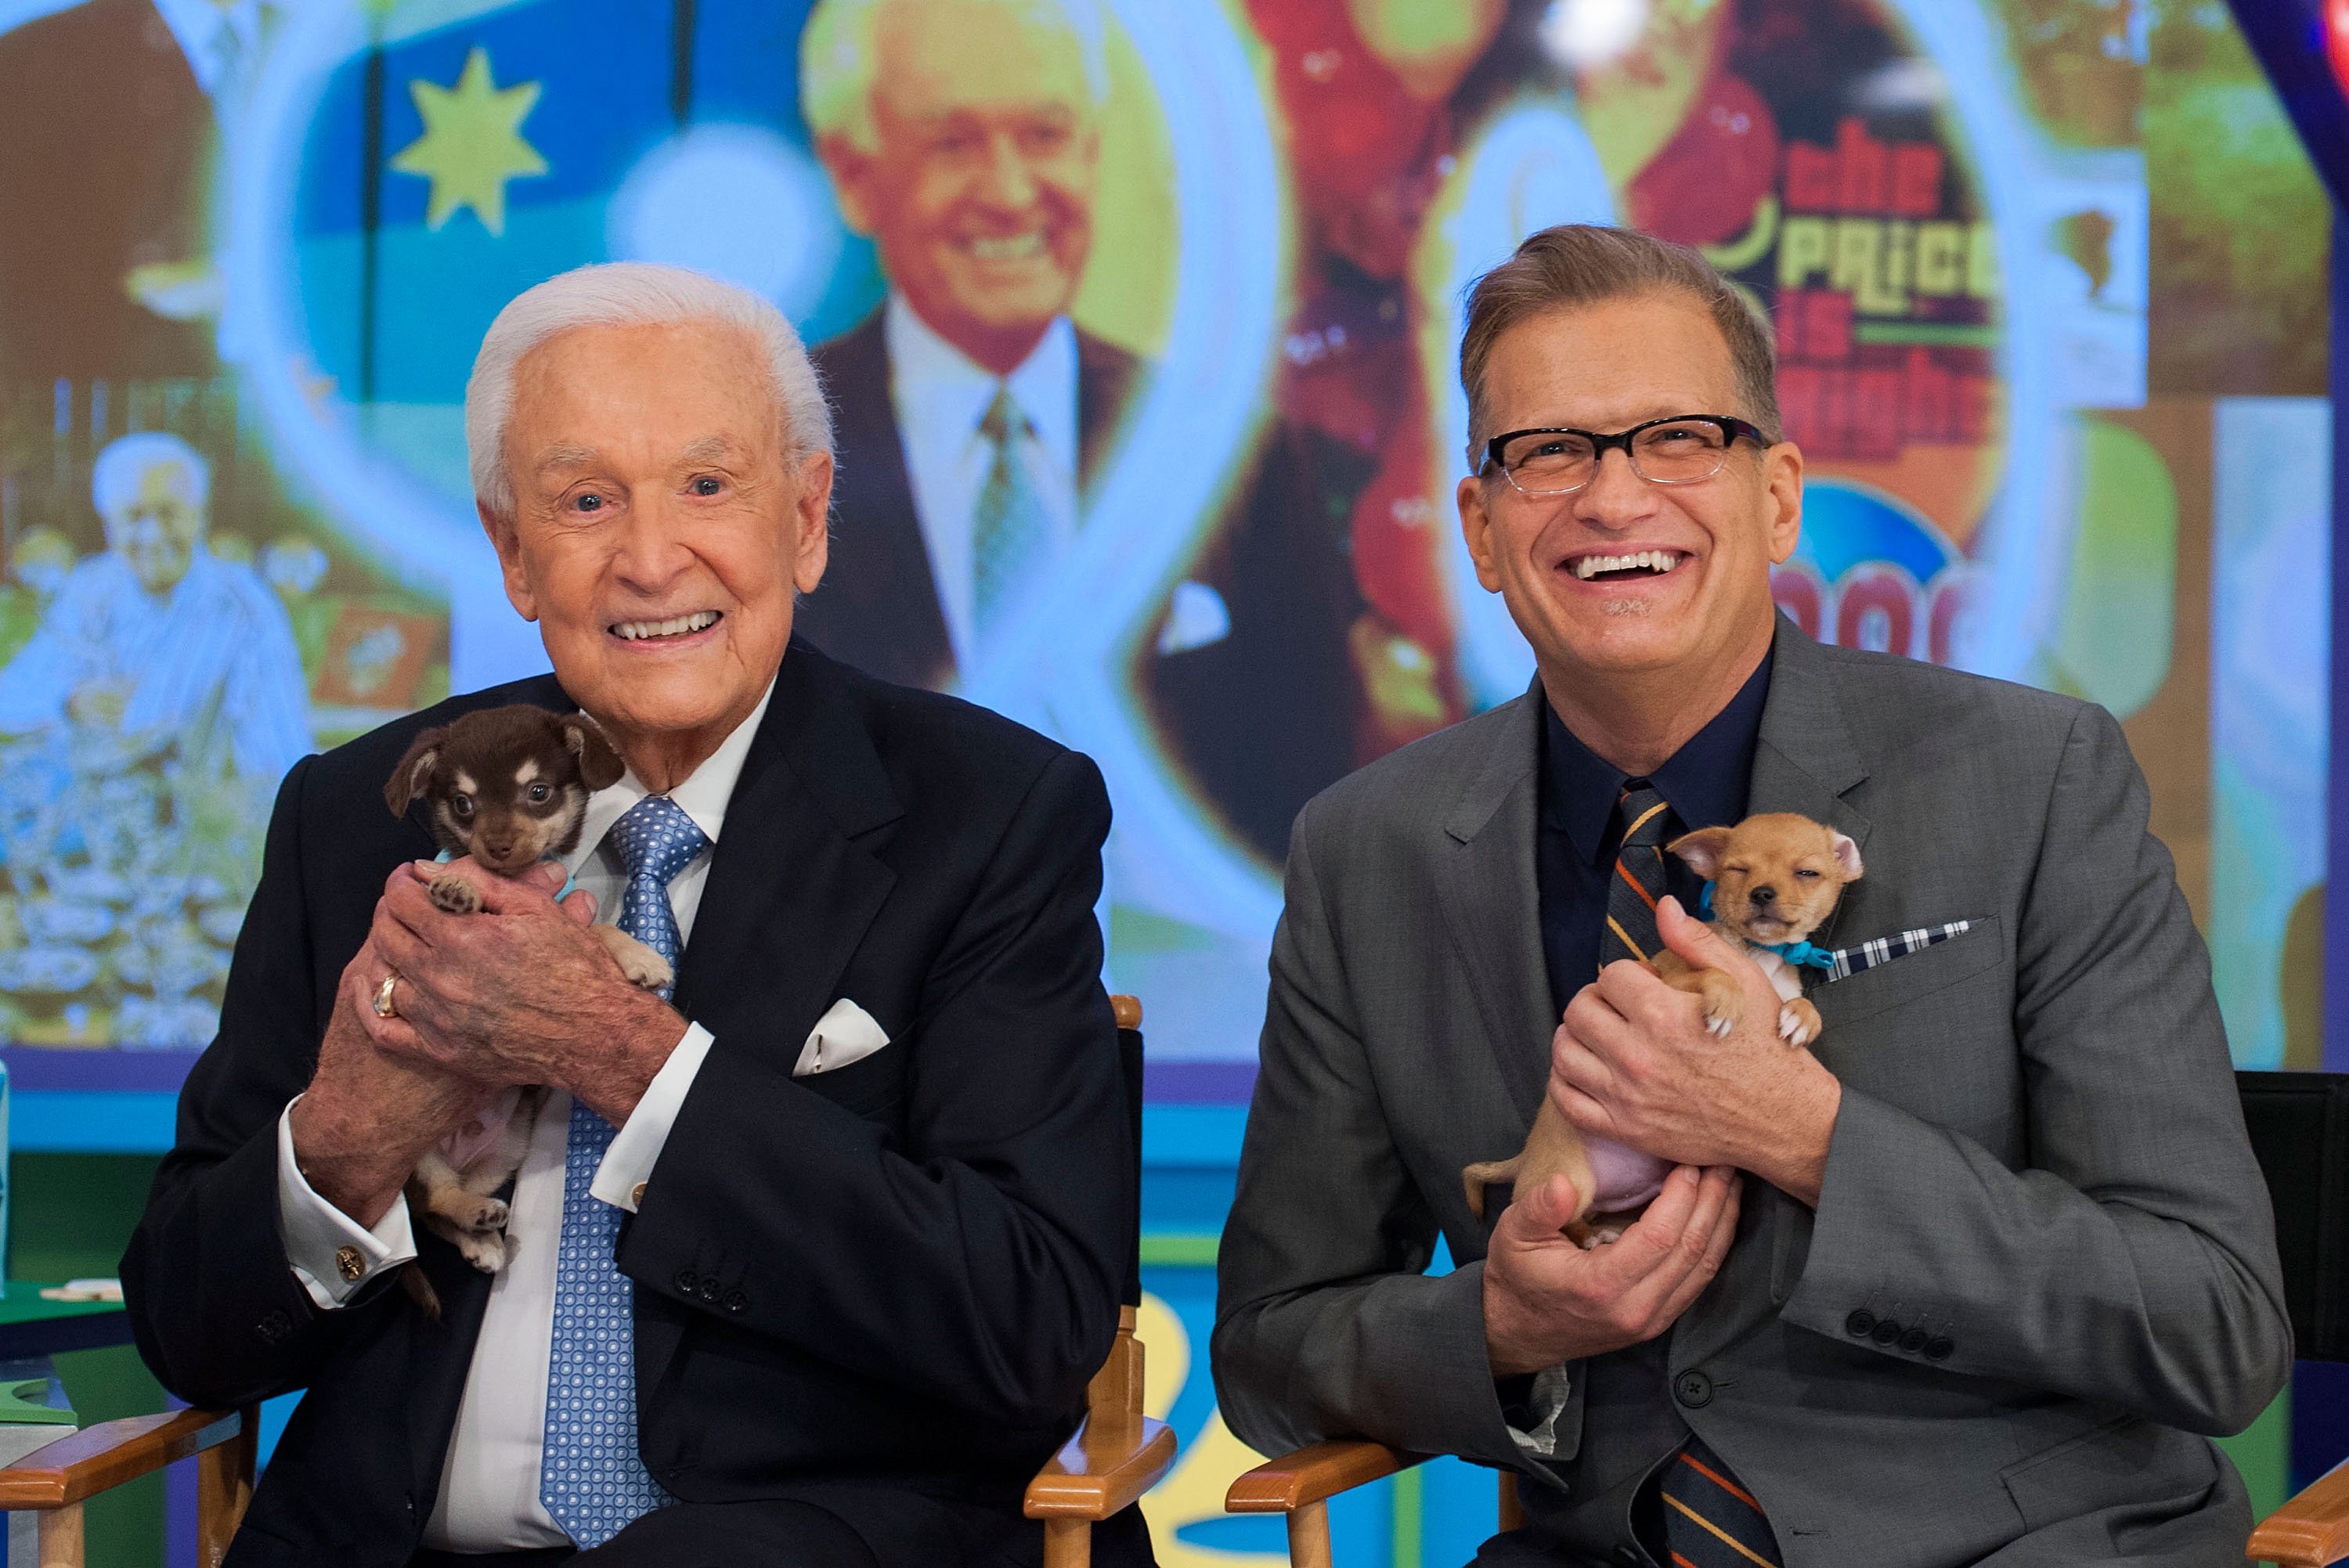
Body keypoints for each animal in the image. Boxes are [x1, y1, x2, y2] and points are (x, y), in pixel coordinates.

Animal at [378, 704, 672, 1296]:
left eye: (538, 792)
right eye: (462, 802)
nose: (497, 846)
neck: (517, 882)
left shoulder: (560, 918)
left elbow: (598, 932)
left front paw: (641, 959)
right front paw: (458, 887)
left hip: (507, 1147)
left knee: (438, 1212)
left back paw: (483, 1236)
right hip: (415, 1154)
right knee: (433, 1200)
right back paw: (478, 1219)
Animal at [1456, 816, 1860, 1239]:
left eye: (1807, 873)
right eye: (1737, 870)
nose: (1762, 893)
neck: (1759, 955)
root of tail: (1527, 1158)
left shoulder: (1781, 991)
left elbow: (1801, 1004)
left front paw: (1803, 1018)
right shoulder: (1674, 981)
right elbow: (1716, 972)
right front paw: (1728, 998)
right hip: (1571, 1182)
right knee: (1567, 1223)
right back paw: (1593, 1239)